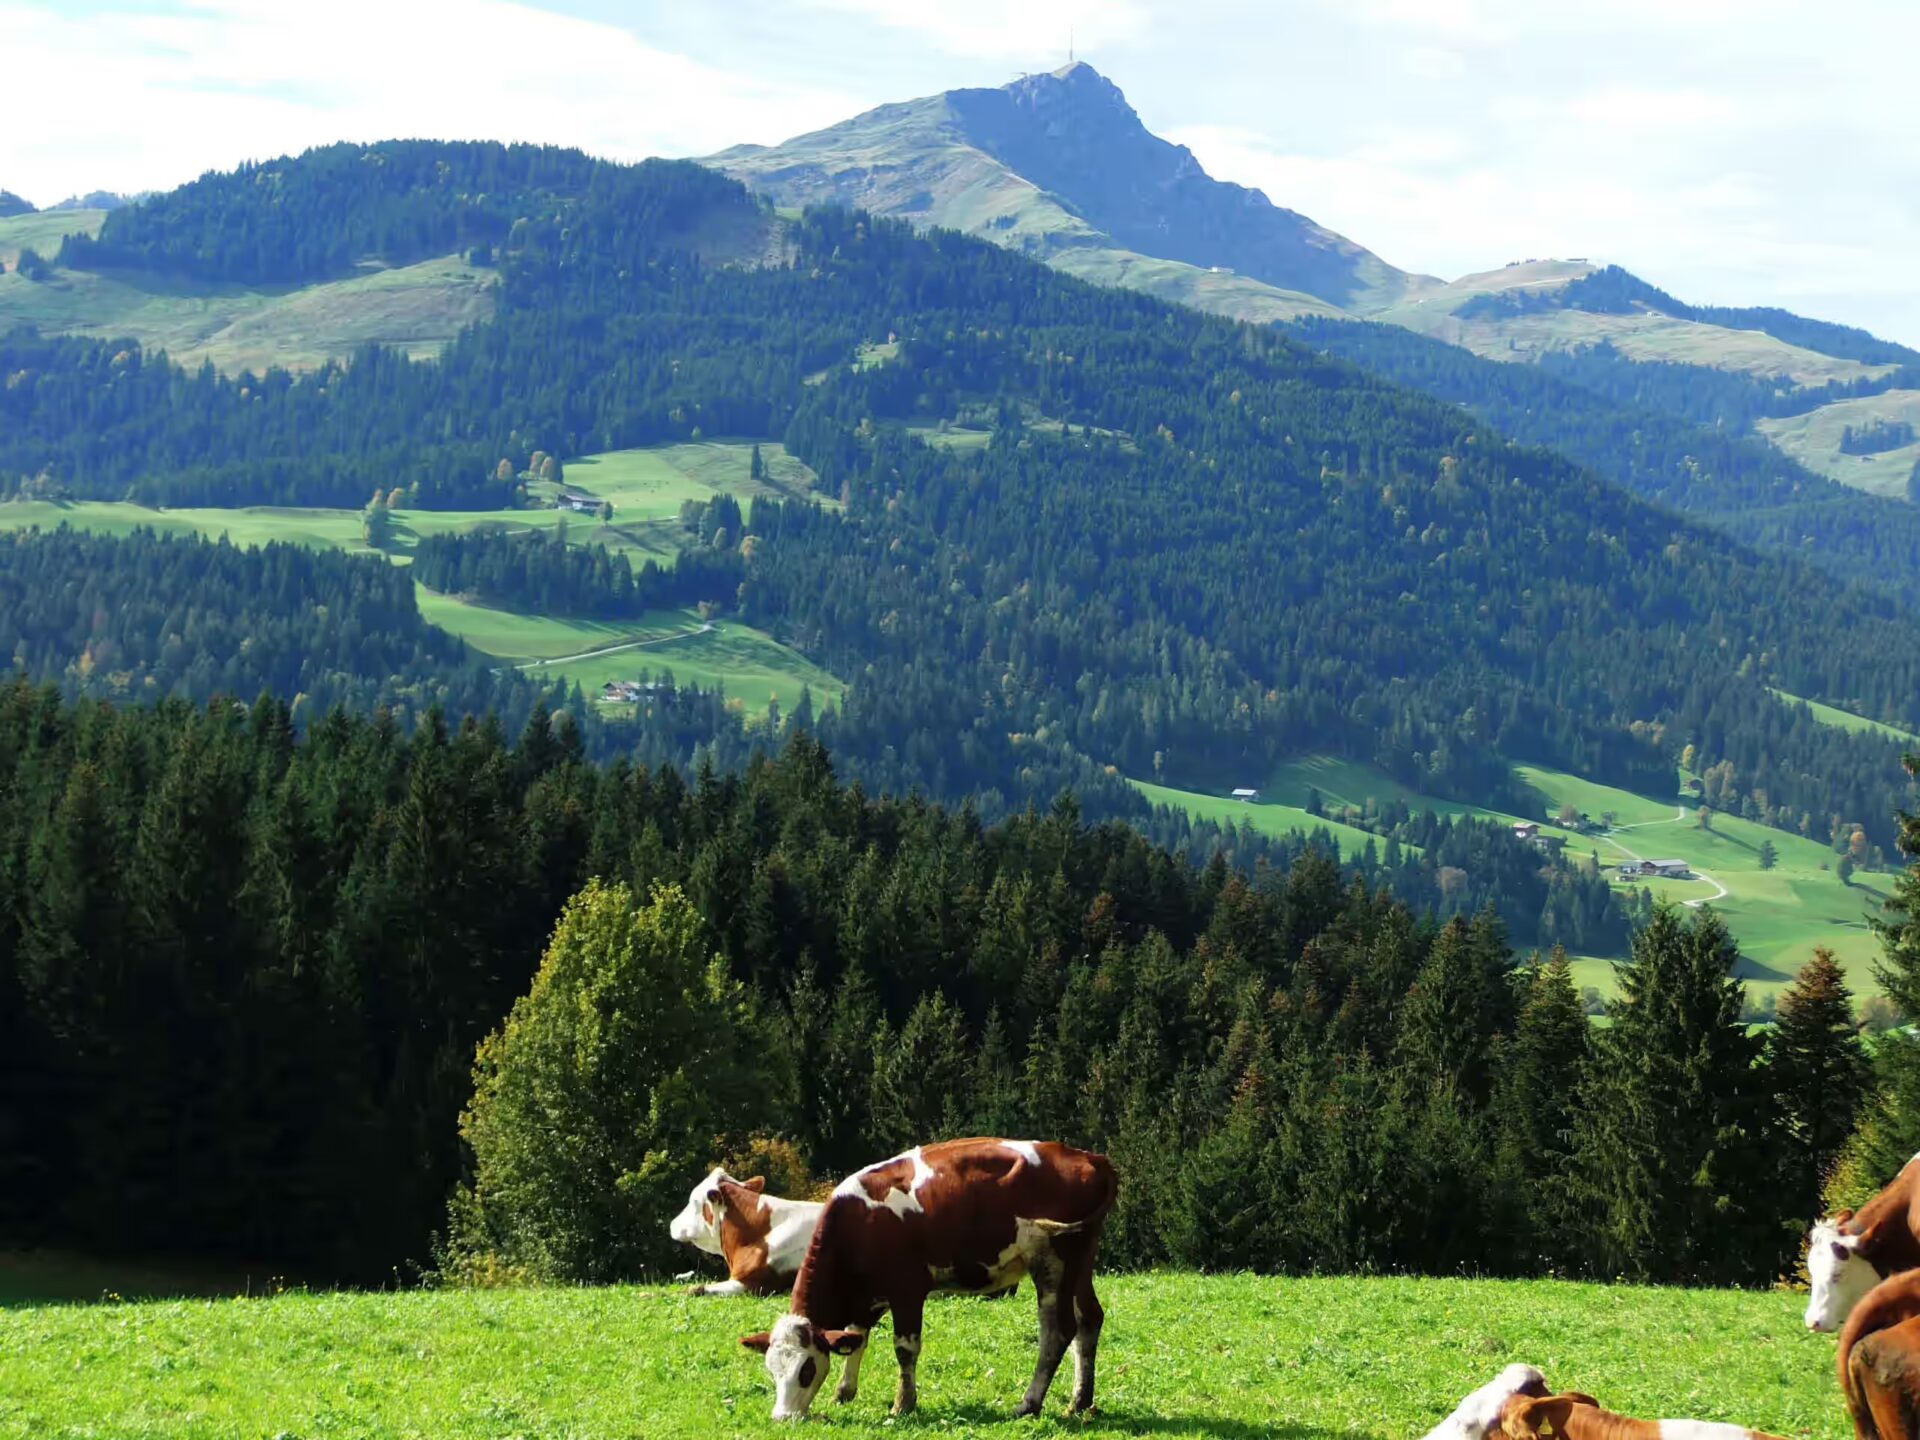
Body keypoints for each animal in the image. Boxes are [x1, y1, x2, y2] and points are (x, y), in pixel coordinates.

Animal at [739, 1137, 1117, 1422]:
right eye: (772, 1369)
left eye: (805, 1369)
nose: (782, 1417)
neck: (860, 1222)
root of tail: (1089, 1158)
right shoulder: (867, 1297)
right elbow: (856, 1339)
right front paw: (844, 1392)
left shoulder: (907, 1289)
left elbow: (905, 1349)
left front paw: (903, 1404)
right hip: (1081, 1262)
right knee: (1089, 1320)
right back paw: (1080, 1402)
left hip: (1054, 1260)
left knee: (1057, 1331)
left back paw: (1029, 1403)